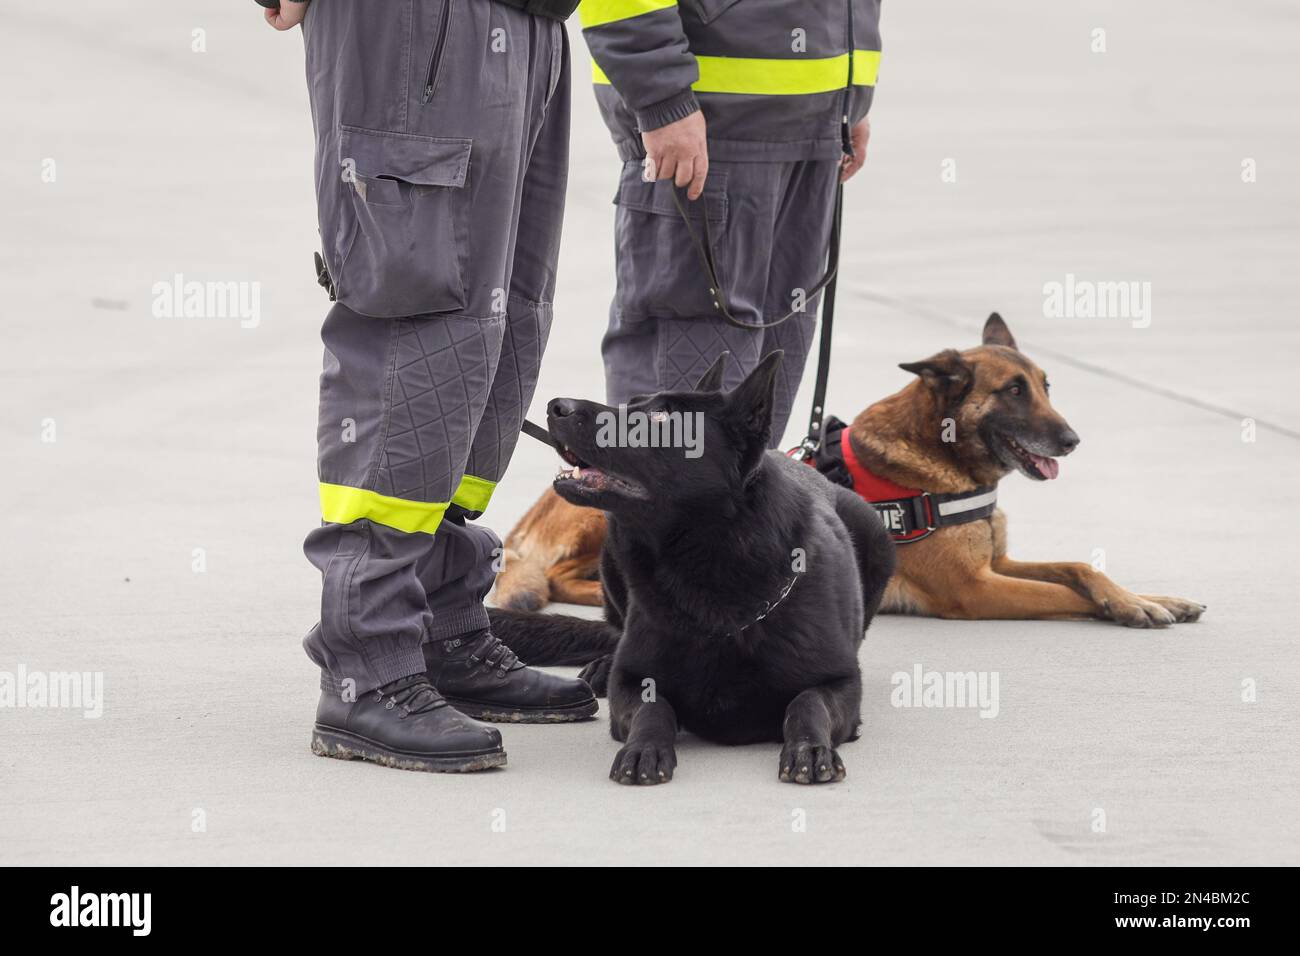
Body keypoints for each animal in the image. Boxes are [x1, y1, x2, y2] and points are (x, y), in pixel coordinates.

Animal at [488, 351, 894, 785]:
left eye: (662, 418)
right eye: (634, 402)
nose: (555, 406)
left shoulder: (841, 683)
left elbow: (807, 703)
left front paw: (810, 747)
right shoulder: (632, 686)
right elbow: (654, 708)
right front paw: (645, 748)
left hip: (873, 528)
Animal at [491, 314, 1201, 629]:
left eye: (1047, 386)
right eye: (1013, 392)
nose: (1073, 440)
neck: (939, 459)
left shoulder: (997, 565)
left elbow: (1081, 568)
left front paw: (1147, 596)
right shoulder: (975, 591)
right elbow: (1066, 593)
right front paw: (1129, 609)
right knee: (557, 577)